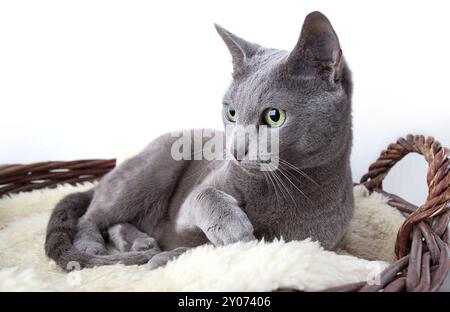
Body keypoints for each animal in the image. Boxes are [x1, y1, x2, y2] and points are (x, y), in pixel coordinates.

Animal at [46, 11, 356, 270]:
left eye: (274, 116)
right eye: (231, 112)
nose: (235, 150)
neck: (279, 188)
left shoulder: (317, 244)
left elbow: (204, 248)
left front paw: (166, 257)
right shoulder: (188, 210)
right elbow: (202, 197)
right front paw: (233, 227)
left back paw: (141, 243)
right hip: (154, 167)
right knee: (92, 216)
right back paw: (95, 245)